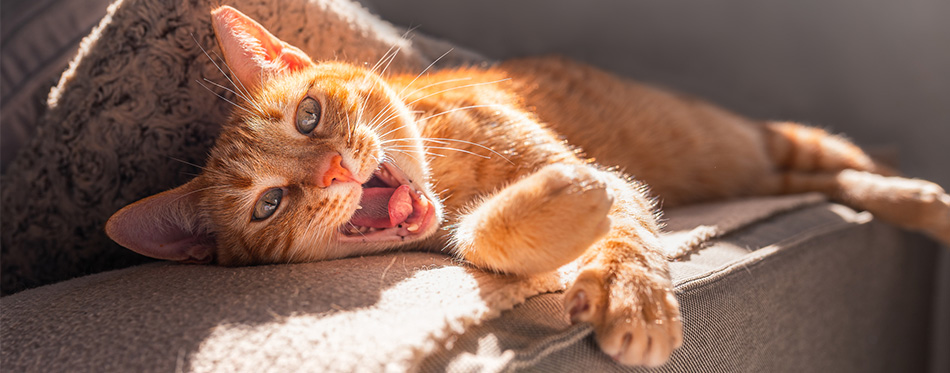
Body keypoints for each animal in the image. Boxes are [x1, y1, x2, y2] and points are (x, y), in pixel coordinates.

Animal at [106, 5, 950, 366]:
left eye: (309, 114)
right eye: (269, 202)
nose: (337, 171)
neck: (444, 166)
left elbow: (625, 220)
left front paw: (635, 296)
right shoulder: (459, 230)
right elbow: (489, 235)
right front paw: (562, 206)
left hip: (780, 138)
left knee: (849, 168)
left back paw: (921, 196)